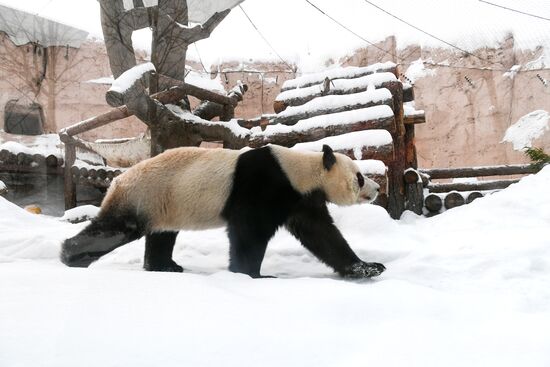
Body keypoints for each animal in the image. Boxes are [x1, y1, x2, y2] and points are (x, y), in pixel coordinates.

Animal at [60, 144, 386, 278]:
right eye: (359, 177)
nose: (376, 188)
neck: (302, 169)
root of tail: (117, 179)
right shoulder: (264, 185)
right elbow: (249, 232)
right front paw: (251, 275)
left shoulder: (300, 198)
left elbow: (322, 235)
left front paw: (367, 268)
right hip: (144, 195)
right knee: (116, 227)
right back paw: (71, 256)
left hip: (165, 203)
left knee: (162, 235)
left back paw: (165, 267)